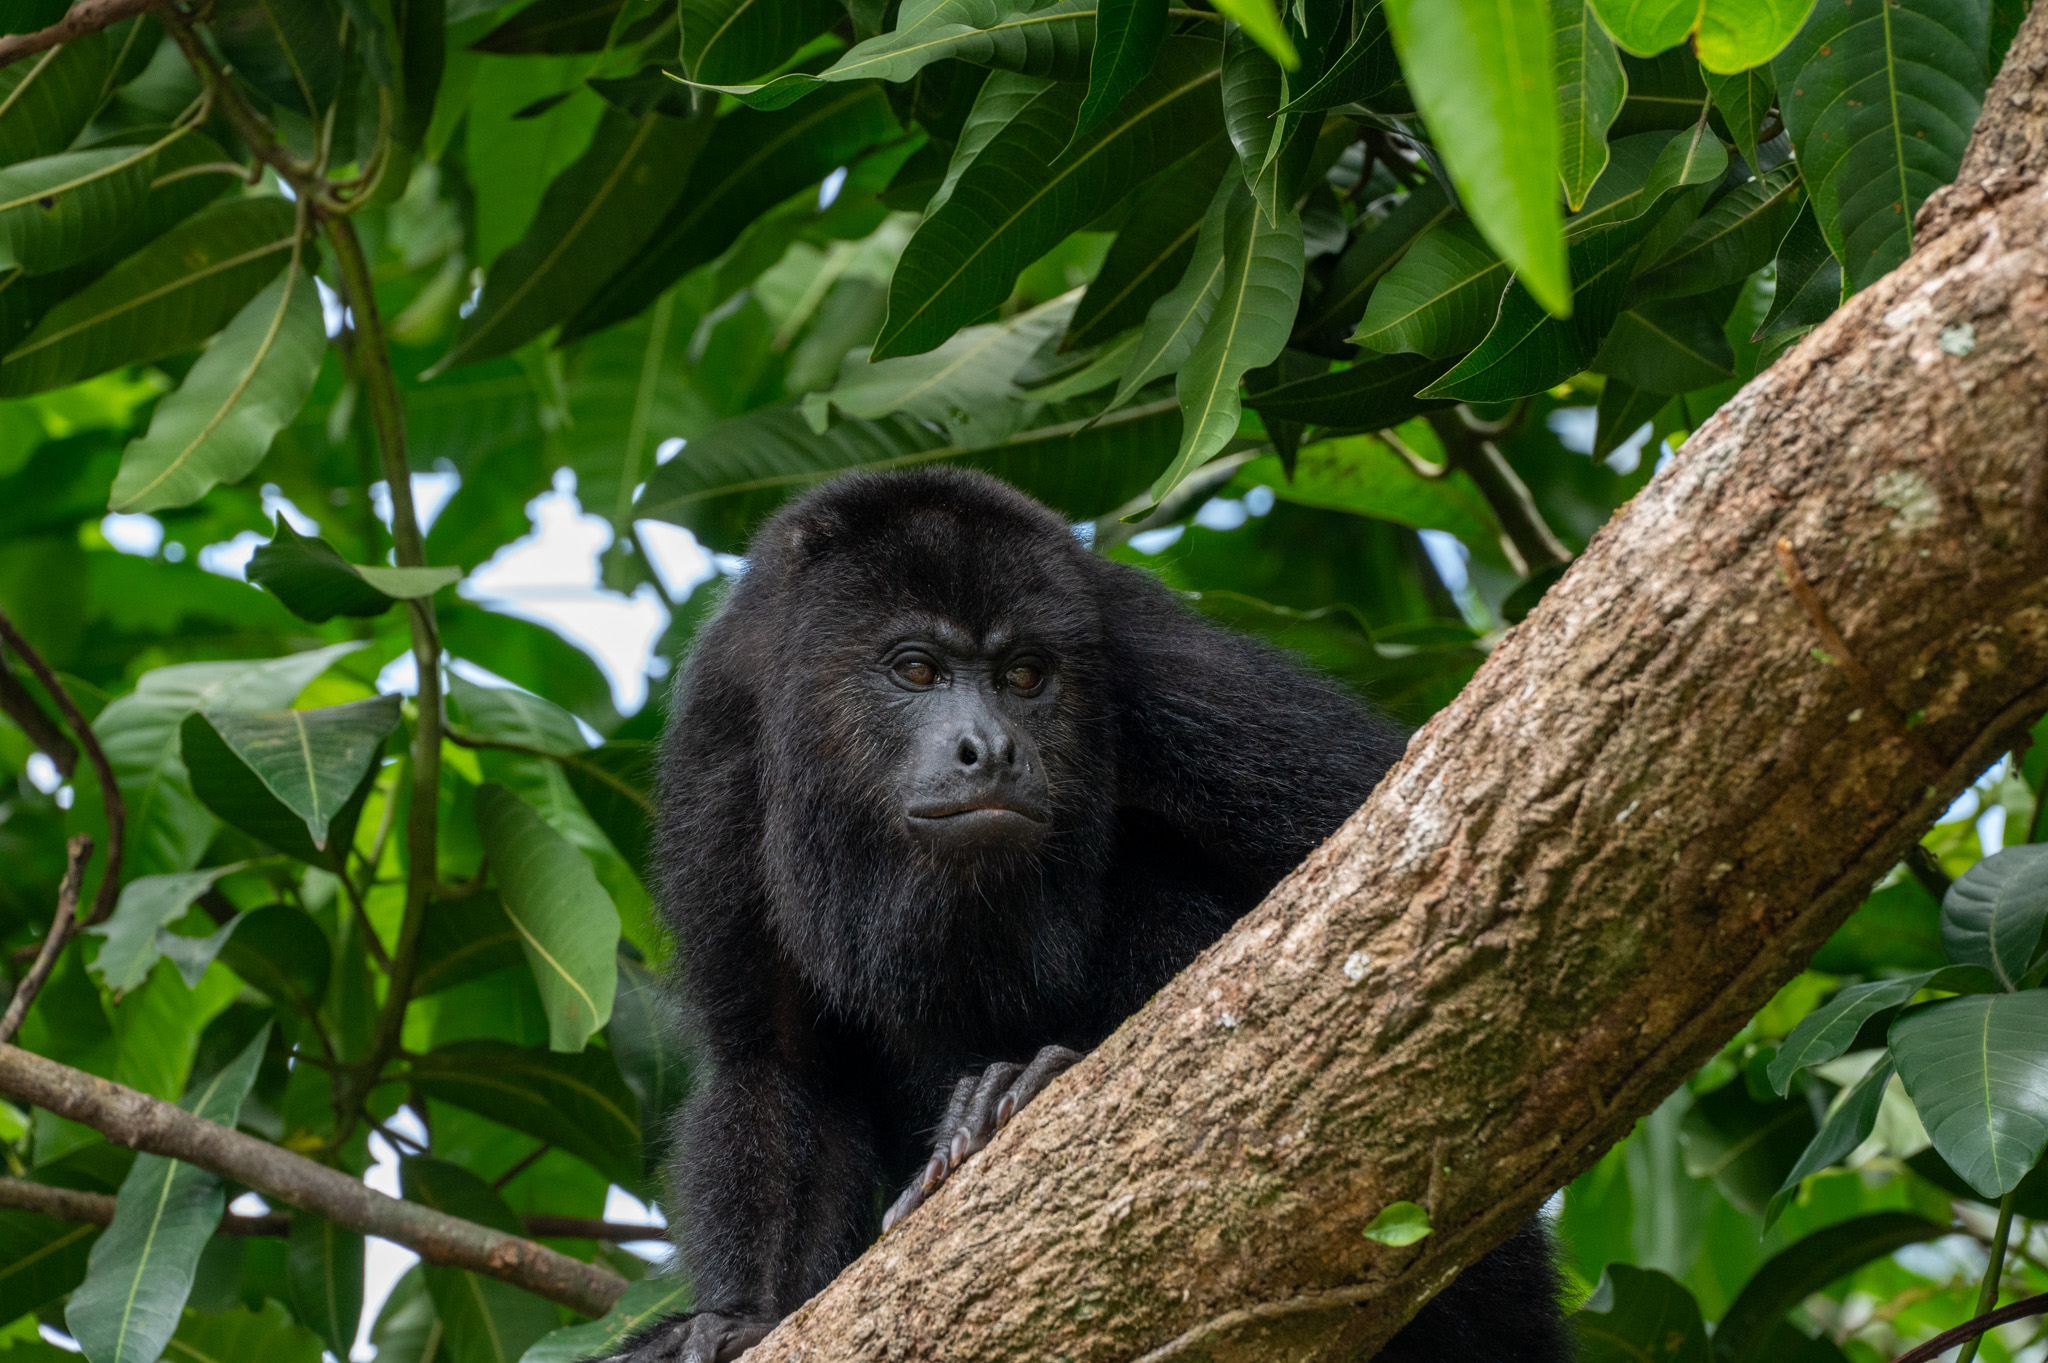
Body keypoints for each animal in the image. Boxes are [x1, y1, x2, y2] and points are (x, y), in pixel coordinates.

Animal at [615, 468, 1571, 1363]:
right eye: (916, 668)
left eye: (1026, 675)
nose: (992, 747)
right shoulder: (723, 740)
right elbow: (775, 1060)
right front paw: (735, 1319)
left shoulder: (1159, 667)